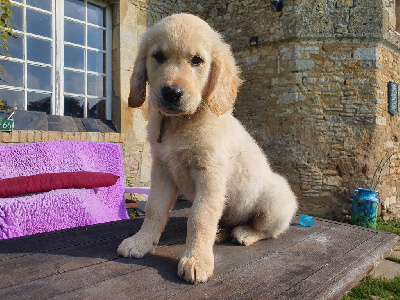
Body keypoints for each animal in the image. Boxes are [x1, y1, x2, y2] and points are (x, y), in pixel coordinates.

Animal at [117, 13, 298, 284]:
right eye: (158, 56)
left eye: (197, 61)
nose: (172, 93)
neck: (181, 123)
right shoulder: (162, 170)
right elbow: (154, 209)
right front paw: (141, 242)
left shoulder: (209, 173)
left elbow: (200, 216)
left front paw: (196, 260)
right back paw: (222, 232)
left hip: (275, 201)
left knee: (269, 231)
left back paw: (245, 233)